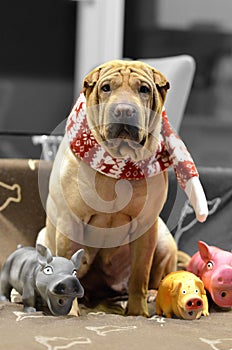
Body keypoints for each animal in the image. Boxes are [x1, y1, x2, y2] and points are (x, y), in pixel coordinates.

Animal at [38, 58, 208, 316]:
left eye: (144, 89)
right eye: (106, 88)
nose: (125, 110)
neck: (118, 163)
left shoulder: (145, 227)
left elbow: (140, 274)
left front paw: (137, 312)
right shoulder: (70, 221)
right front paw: (70, 311)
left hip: (163, 240)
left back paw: (152, 294)